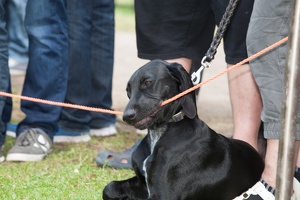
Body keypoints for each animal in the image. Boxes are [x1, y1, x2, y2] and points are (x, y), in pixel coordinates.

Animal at [102, 59, 262, 200]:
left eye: (148, 82)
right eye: (128, 91)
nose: (126, 116)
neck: (160, 132)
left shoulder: (163, 196)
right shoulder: (143, 184)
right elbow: (110, 187)